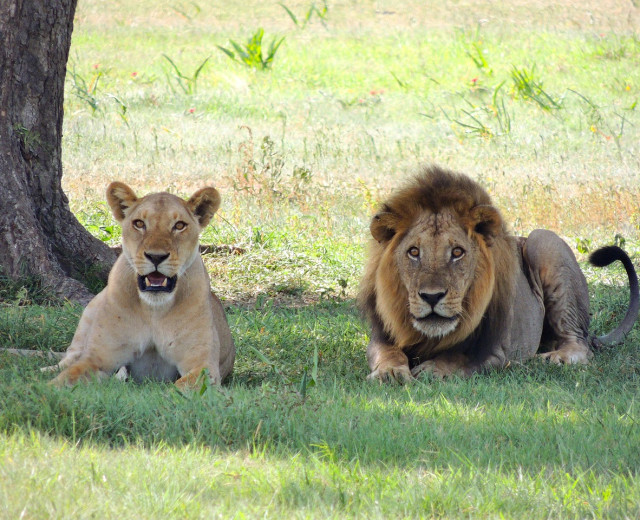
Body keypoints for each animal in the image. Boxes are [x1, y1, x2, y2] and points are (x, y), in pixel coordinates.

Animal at [49, 181, 235, 388]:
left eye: (179, 225)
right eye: (139, 223)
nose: (156, 256)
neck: (154, 310)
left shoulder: (203, 366)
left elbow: (180, 387)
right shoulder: (97, 358)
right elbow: (65, 378)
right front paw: (42, 388)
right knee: (68, 357)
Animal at [358, 167, 636, 382]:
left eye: (457, 252)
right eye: (414, 252)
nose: (432, 297)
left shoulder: (497, 350)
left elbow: (460, 358)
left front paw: (432, 370)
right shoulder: (381, 336)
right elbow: (387, 353)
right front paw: (390, 372)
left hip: (543, 241)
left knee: (580, 344)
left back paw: (552, 359)